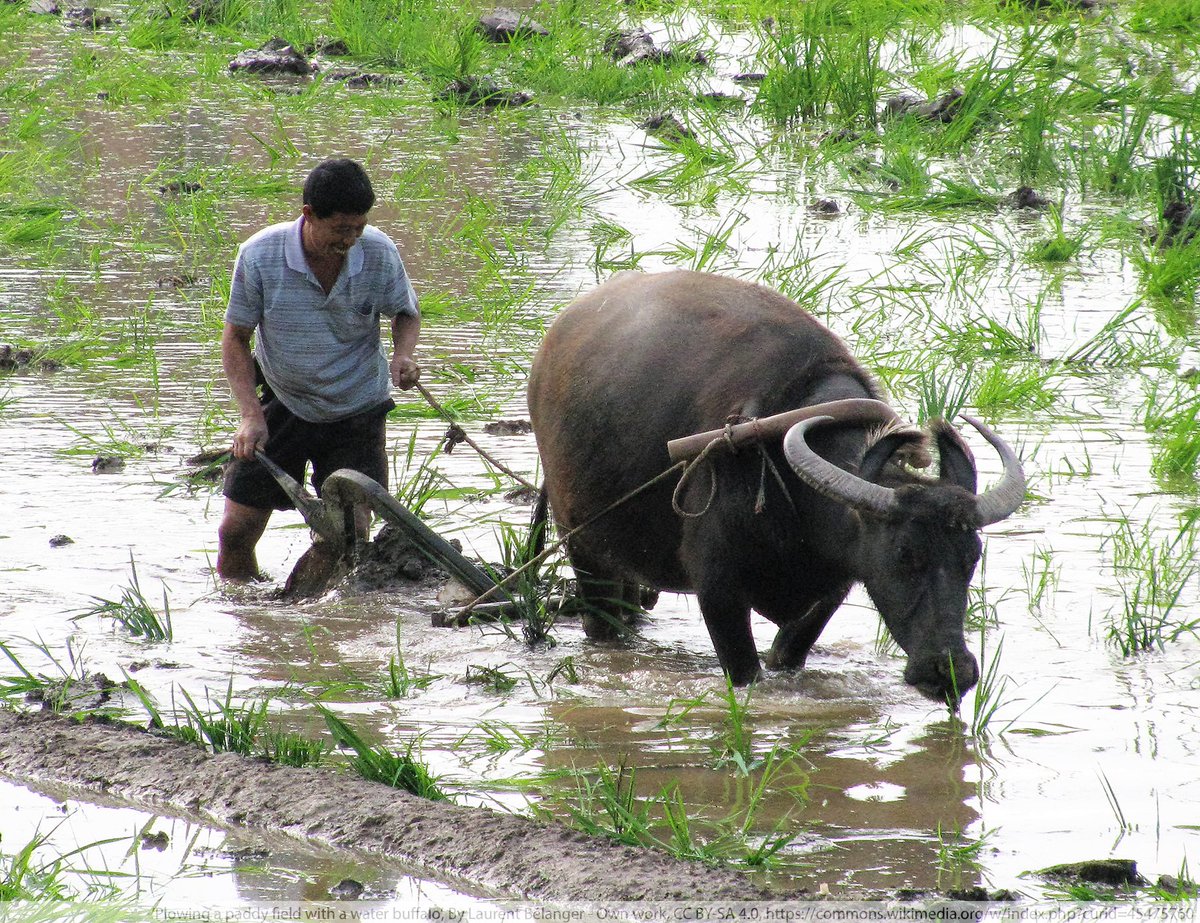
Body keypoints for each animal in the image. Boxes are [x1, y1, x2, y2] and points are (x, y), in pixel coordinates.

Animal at [525, 270, 1022, 700]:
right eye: (904, 554)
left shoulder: (832, 588)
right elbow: (745, 670)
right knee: (602, 623)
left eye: (971, 557)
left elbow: (788, 652)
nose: (951, 670)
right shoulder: (718, 590)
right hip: (583, 548)